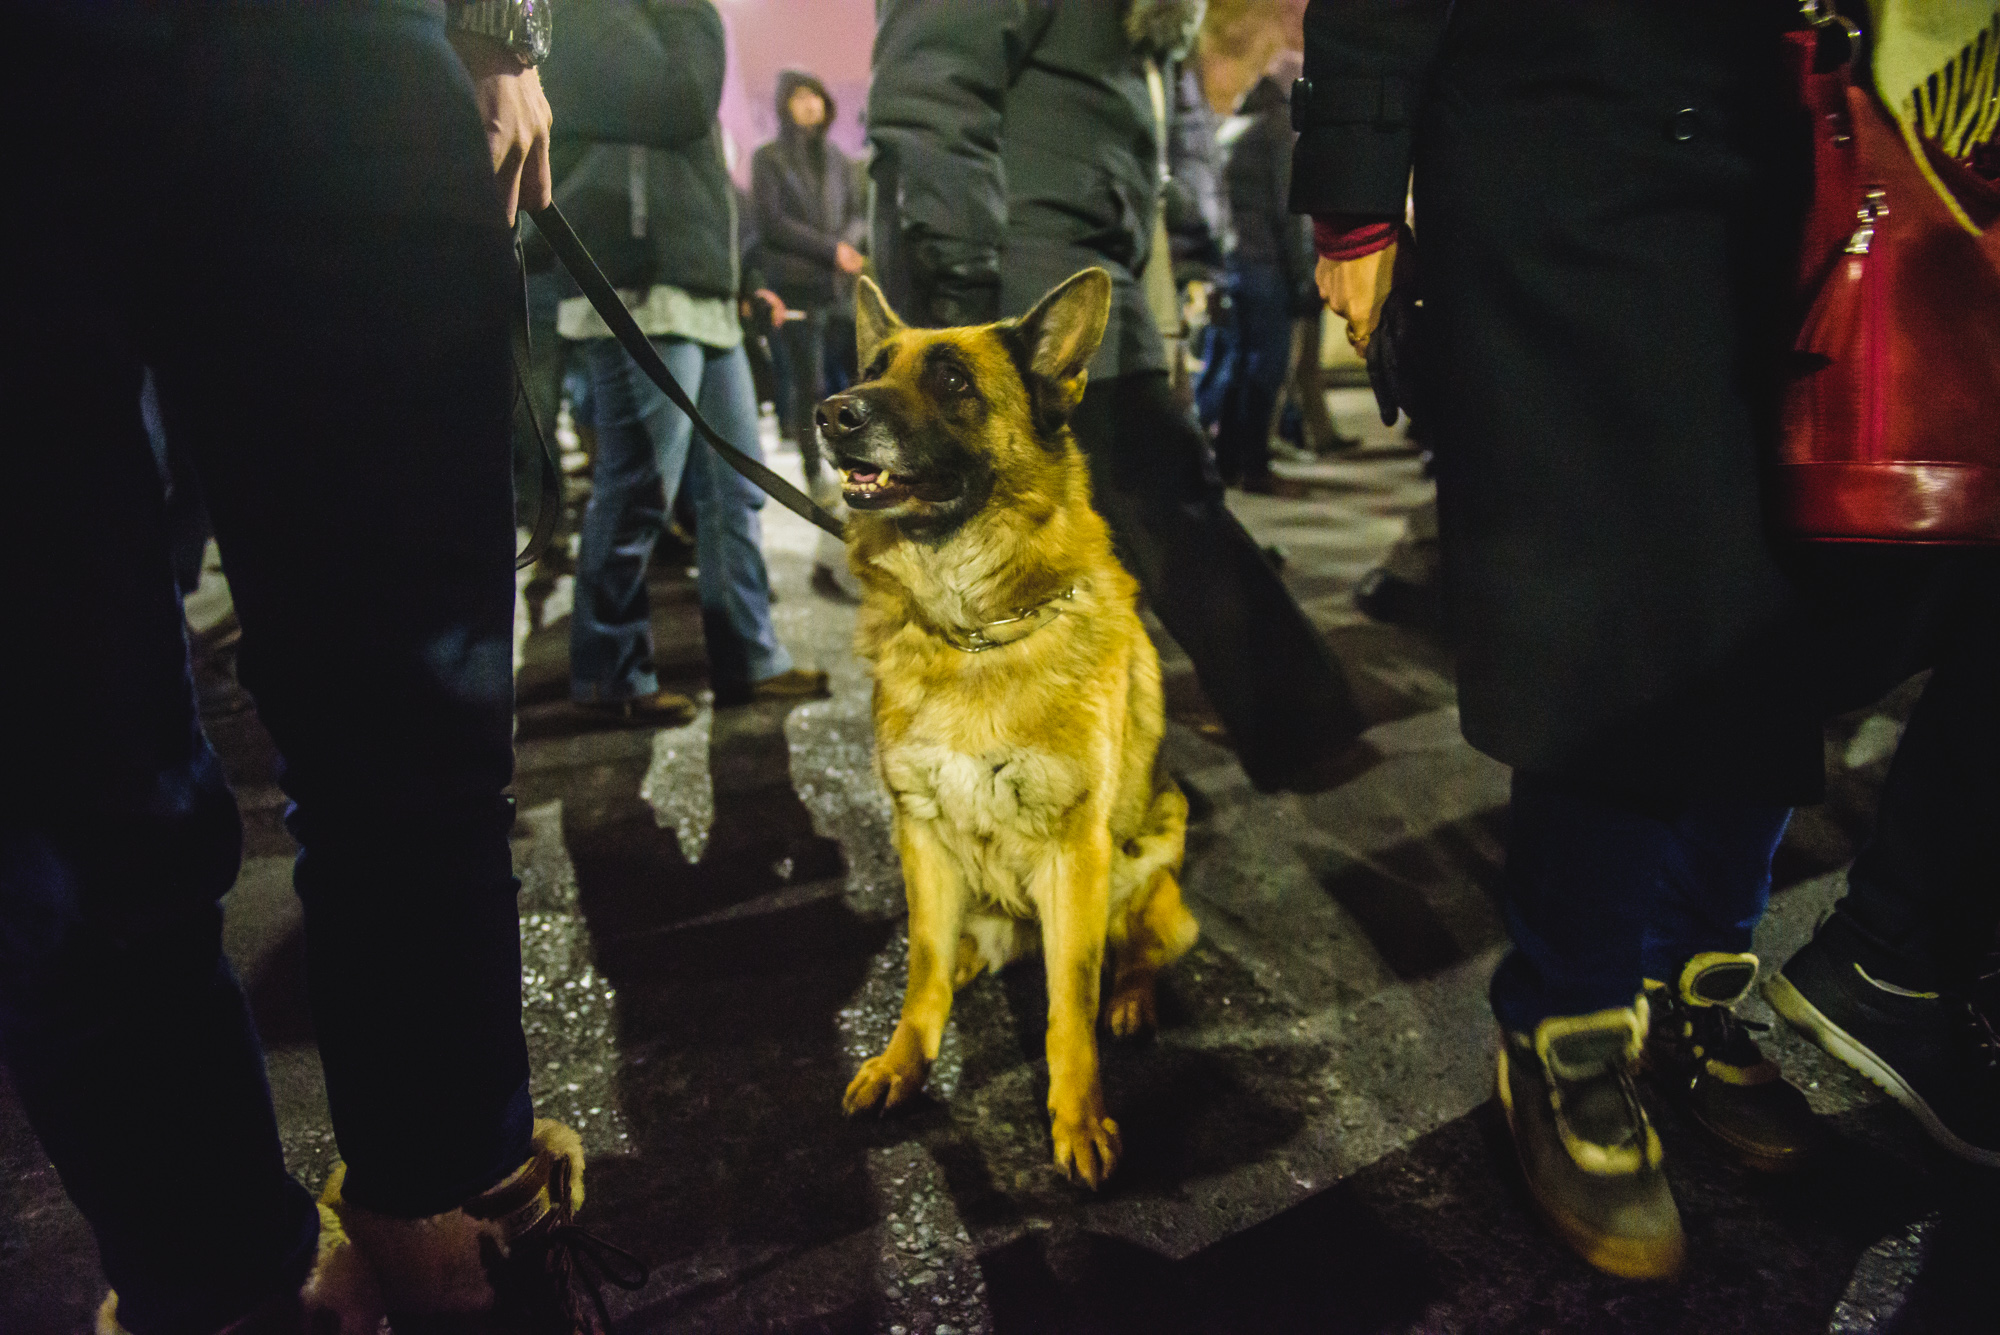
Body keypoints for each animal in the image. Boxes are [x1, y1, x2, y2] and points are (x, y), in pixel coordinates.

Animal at [816, 265, 1192, 1183]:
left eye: (953, 381)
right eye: (873, 368)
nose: (833, 411)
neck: (972, 629)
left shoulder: (1075, 849)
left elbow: (1070, 999)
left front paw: (1077, 1117)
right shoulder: (919, 831)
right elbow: (921, 967)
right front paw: (904, 1060)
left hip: (1153, 859)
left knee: (1136, 948)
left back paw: (1132, 1001)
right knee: (958, 953)